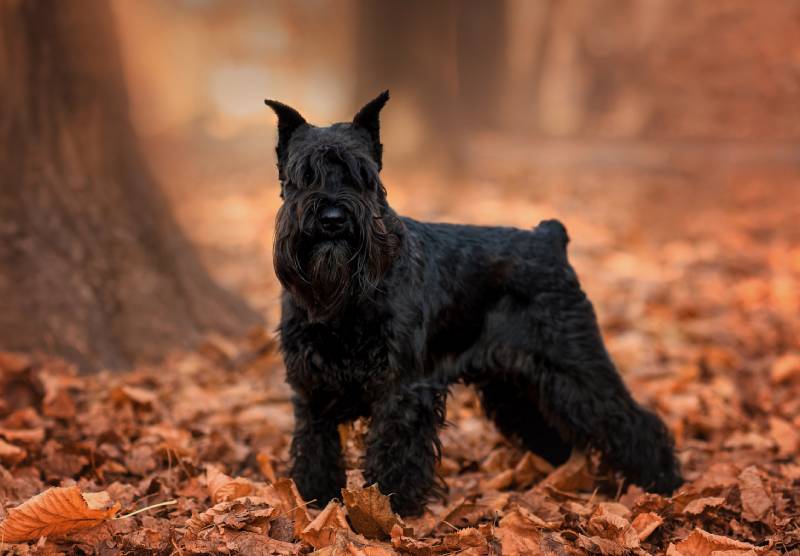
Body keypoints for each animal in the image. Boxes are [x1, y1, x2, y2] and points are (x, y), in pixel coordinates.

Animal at [264, 92, 680, 516]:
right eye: (303, 176)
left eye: (363, 176)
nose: (332, 217)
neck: (343, 299)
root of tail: (549, 236)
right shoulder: (311, 389)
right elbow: (315, 444)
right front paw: (315, 498)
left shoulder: (401, 388)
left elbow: (395, 449)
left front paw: (392, 506)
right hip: (514, 384)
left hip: (575, 364)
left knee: (629, 420)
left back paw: (661, 482)